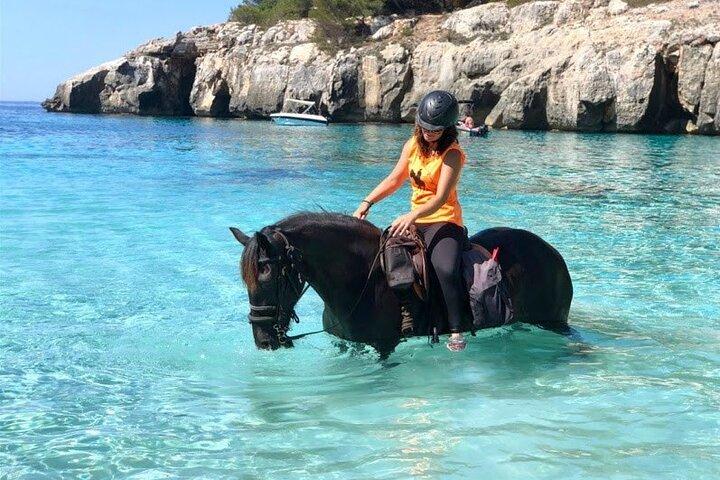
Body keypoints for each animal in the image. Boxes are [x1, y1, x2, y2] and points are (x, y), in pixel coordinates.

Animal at [230, 212, 573, 358]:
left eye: (268, 276)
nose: (262, 340)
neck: (363, 279)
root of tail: (553, 254)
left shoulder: (384, 346)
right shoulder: (346, 342)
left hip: (555, 321)